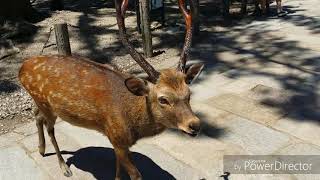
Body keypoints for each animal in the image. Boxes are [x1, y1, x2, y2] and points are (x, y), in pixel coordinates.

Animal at [18, 0, 202, 179]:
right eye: (163, 99)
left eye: (189, 94)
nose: (195, 125)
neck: (133, 125)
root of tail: (22, 69)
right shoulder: (115, 135)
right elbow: (135, 174)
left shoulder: (119, 142)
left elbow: (118, 169)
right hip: (46, 104)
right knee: (49, 128)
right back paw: (64, 167)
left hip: (42, 103)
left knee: (37, 115)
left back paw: (41, 150)